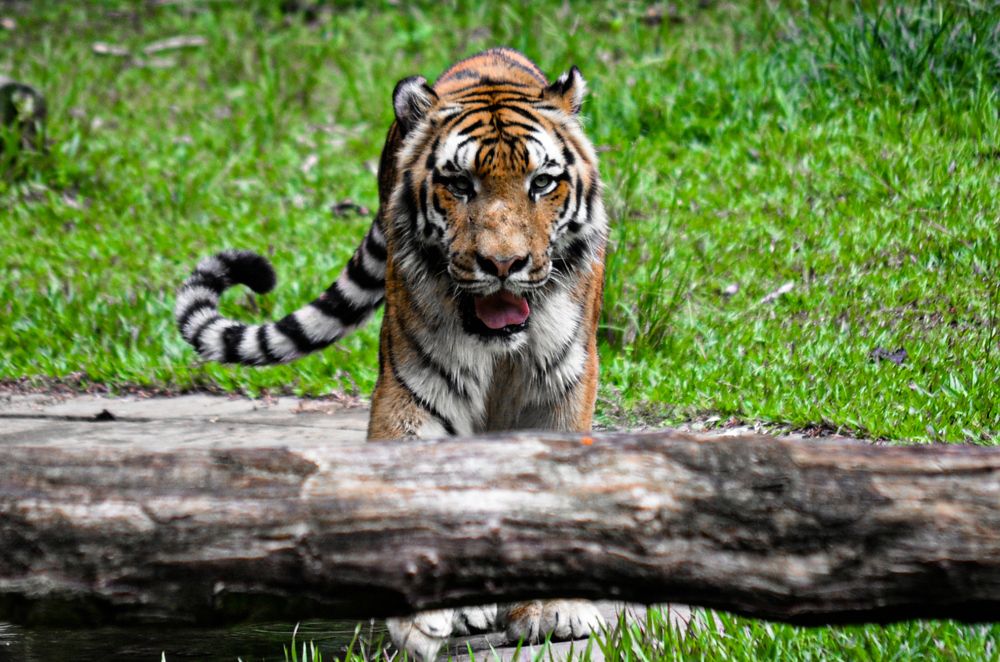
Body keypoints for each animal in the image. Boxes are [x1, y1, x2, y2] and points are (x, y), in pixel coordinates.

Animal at [174, 47, 609, 660]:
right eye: (460, 183)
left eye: (542, 183)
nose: (503, 265)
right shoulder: (417, 386)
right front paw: (422, 618)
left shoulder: (560, 383)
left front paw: (554, 608)